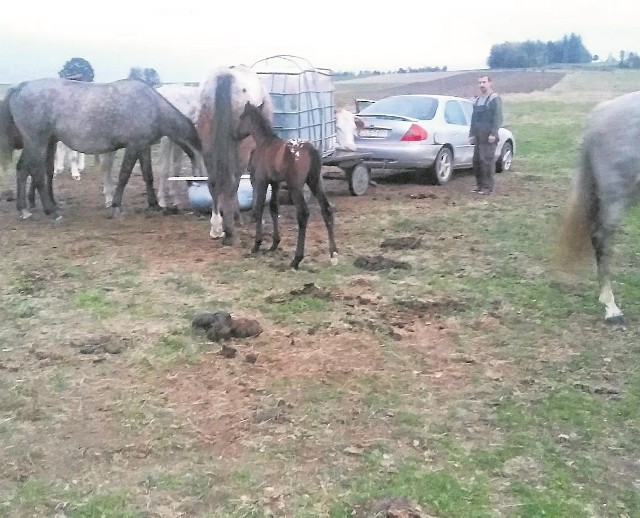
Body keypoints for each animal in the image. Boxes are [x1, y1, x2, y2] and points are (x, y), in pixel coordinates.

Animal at [0, 77, 205, 219]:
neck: (152, 106)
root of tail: (20, 87)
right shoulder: (133, 146)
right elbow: (123, 176)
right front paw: (116, 206)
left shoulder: (143, 146)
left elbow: (148, 175)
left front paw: (154, 205)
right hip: (37, 142)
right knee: (35, 172)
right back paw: (51, 211)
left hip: (40, 143)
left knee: (23, 170)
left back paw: (25, 209)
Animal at [196, 64, 274, 244]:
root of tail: (224, 78)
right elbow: (254, 180)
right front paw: (255, 215)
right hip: (241, 151)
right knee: (233, 183)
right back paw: (230, 229)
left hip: (207, 146)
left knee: (214, 182)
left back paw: (217, 227)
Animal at [234, 102, 336, 272]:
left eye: (241, 117)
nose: (235, 134)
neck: (265, 143)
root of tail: (311, 150)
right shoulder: (275, 182)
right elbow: (274, 208)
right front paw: (274, 244)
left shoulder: (260, 181)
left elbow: (259, 208)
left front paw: (256, 245)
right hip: (315, 182)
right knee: (326, 210)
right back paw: (333, 253)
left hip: (295, 187)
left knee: (303, 214)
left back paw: (296, 259)